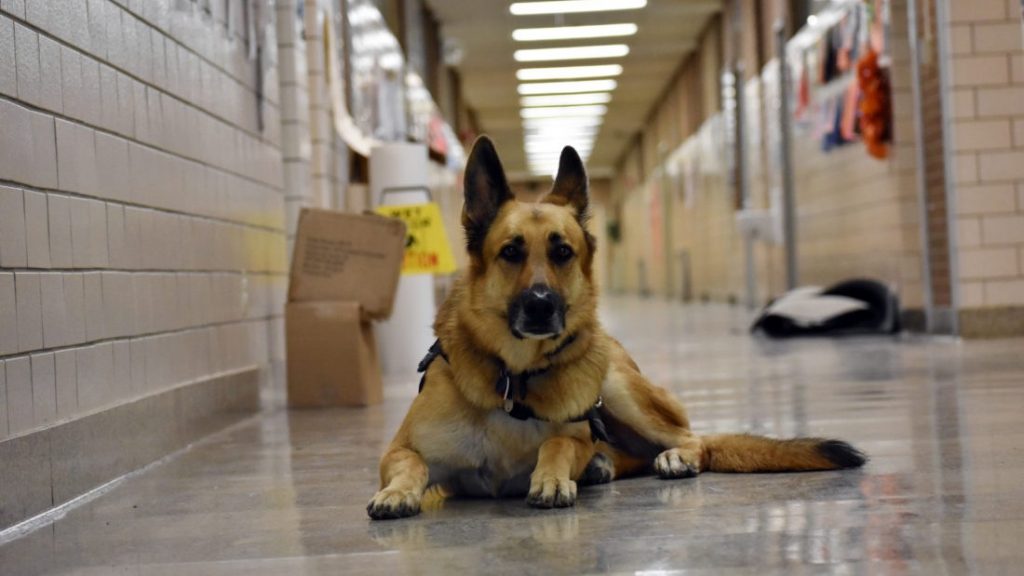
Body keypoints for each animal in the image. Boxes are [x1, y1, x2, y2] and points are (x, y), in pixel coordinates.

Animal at [368, 136, 864, 518]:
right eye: (510, 252)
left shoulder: (574, 434)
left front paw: (551, 479)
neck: (512, 380)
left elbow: (559, 444)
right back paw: (604, 466)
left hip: (617, 386)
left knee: (693, 440)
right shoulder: (398, 449)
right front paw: (396, 493)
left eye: (562, 252)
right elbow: (411, 465)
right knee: (633, 455)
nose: (541, 307)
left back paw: (669, 457)